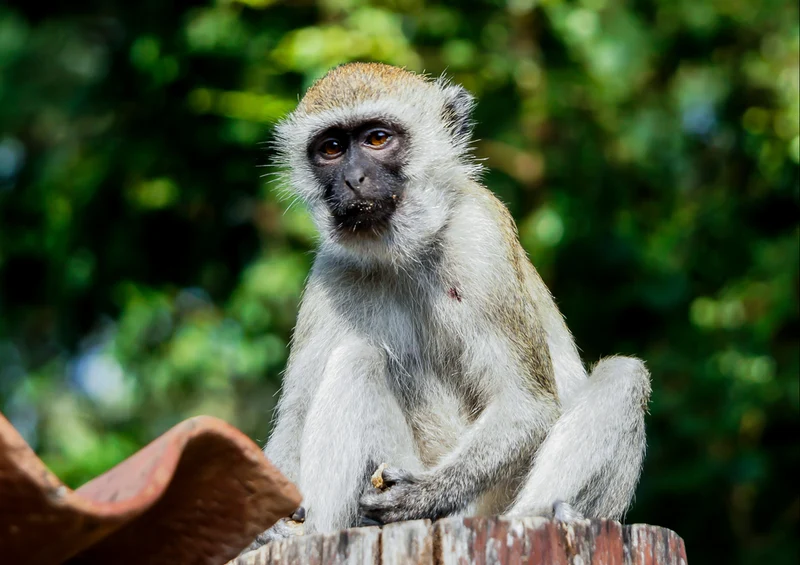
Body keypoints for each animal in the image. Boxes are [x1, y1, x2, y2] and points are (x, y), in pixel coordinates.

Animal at [251, 62, 651, 546]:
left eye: (377, 139)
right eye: (330, 148)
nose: (352, 180)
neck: (405, 252)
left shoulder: (480, 237)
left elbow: (526, 403)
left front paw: (420, 496)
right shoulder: (331, 270)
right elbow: (294, 418)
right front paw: (266, 525)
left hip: (486, 504)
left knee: (625, 376)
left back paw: (547, 514)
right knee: (355, 361)